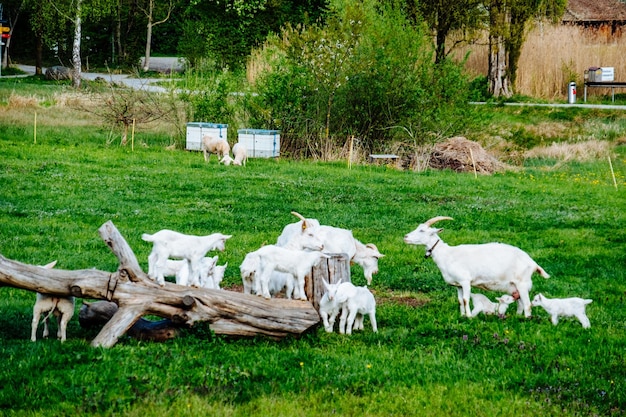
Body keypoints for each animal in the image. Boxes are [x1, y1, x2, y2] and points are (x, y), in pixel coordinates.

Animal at [404, 216, 544, 316]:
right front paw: (462, 316)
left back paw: (526, 319)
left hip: (522, 283)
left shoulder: (465, 281)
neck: (447, 254)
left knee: (527, 304)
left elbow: (466, 299)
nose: (405, 237)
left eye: (422, 230)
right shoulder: (458, 285)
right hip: (514, 286)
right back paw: (517, 317)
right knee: (520, 303)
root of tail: (532, 263)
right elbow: (460, 300)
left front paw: (469, 317)